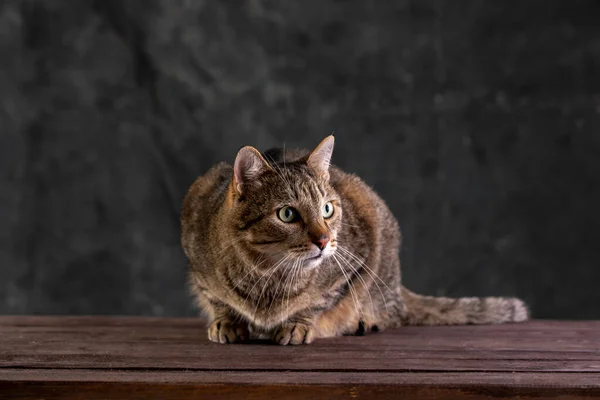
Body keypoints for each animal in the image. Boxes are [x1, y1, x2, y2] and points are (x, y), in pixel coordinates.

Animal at [180, 136, 528, 346]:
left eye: (328, 209)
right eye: (288, 214)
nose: (324, 241)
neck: (268, 275)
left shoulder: (355, 258)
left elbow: (319, 300)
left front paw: (298, 323)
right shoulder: (196, 248)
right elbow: (216, 297)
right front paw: (226, 322)